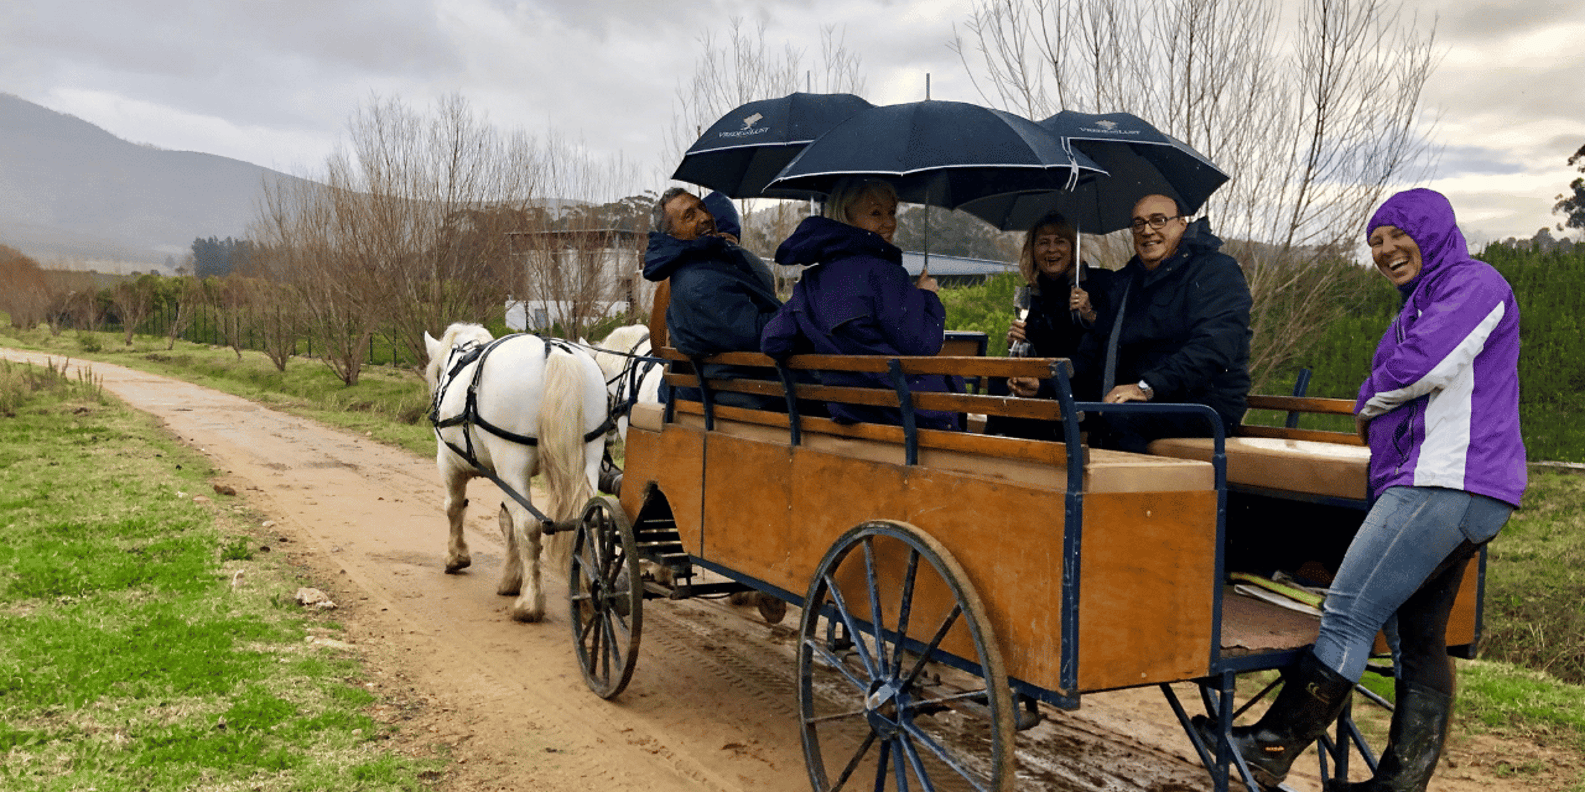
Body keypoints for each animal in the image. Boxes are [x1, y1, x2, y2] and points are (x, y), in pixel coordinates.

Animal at [421, 324, 605, 620]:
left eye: (437, 372)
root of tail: (553, 351)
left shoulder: (449, 463)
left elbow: (454, 507)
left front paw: (457, 557)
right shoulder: (501, 474)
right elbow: (507, 519)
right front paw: (511, 579)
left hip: (511, 462)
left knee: (529, 527)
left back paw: (530, 604)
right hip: (589, 456)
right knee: (588, 522)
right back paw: (589, 595)